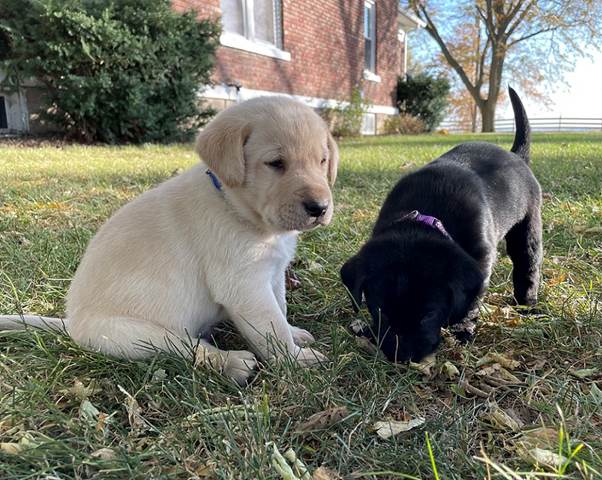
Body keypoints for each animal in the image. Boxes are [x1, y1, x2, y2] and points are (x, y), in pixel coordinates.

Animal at [0, 96, 338, 382]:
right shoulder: (245, 286)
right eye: (276, 163)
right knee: (189, 349)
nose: (319, 208)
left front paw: (295, 334)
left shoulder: (274, 273)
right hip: (140, 335)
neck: (233, 205)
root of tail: (72, 325)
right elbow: (272, 329)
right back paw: (232, 363)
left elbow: (281, 309)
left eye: (322, 161)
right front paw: (296, 359)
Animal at [340, 88, 540, 362]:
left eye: (428, 315)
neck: (426, 215)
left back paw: (526, 304)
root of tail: (516, 156)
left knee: (528, 264)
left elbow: (470, 302)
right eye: (380, 311)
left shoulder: (481, 259)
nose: (402, 357)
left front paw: (461, 329)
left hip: (527, 227)